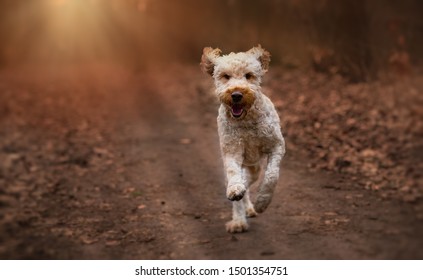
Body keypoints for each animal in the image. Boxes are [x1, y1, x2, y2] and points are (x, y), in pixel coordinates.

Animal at [201, 46, 286, 233]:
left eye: (248, 75)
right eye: (226, 76)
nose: (236, 94)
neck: (245, 120)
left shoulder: (276, 146)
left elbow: (272, 176)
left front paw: (262, 202)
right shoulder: (231, 150)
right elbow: (234, 173)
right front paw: (235, 190)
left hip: (254, 167)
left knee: (250, 180)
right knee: (241, 183)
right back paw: (240, 218)